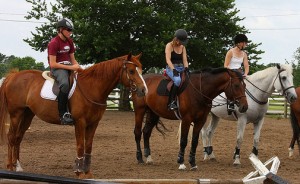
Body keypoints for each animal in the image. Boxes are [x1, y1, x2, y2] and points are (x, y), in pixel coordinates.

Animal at [0, 52, 146, 178]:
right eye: (131, 71)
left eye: (141, 70)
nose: (144, 90)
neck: (91, 87)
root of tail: (13, 76)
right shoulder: (80, 122)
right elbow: (80, 146)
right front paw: (79, 172)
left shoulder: (93, 123)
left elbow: (88, 146)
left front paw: (87, 172)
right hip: (16, 114)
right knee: (11, 137)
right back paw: (10, 167)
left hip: (27, 115)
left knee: (18, 138)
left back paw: (18, 166)